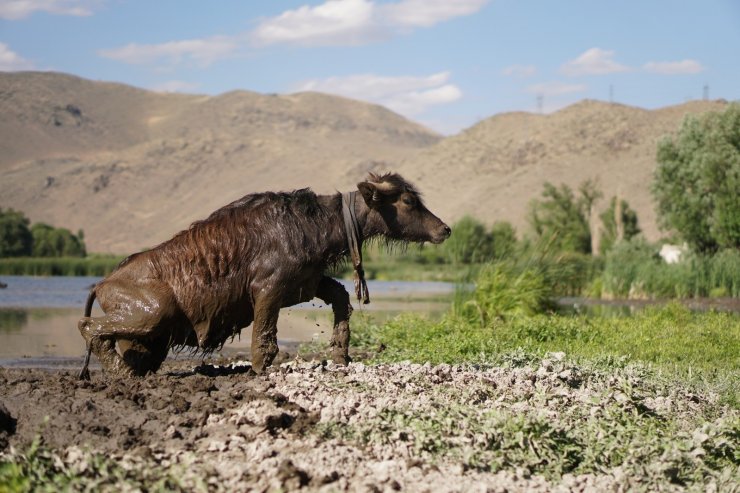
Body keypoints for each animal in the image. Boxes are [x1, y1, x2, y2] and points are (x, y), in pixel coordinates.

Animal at [81, 171, 450, 378]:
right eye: (407, 200)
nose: (445, 229)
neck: (315, 224)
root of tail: (102, 284)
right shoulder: (268, 290)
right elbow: (265, 338)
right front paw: (260, 368)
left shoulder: (308, 284)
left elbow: (342, 299)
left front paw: (340, 354)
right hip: (154, 312)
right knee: (89, 328)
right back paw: (123, 375)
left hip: (151, 338)